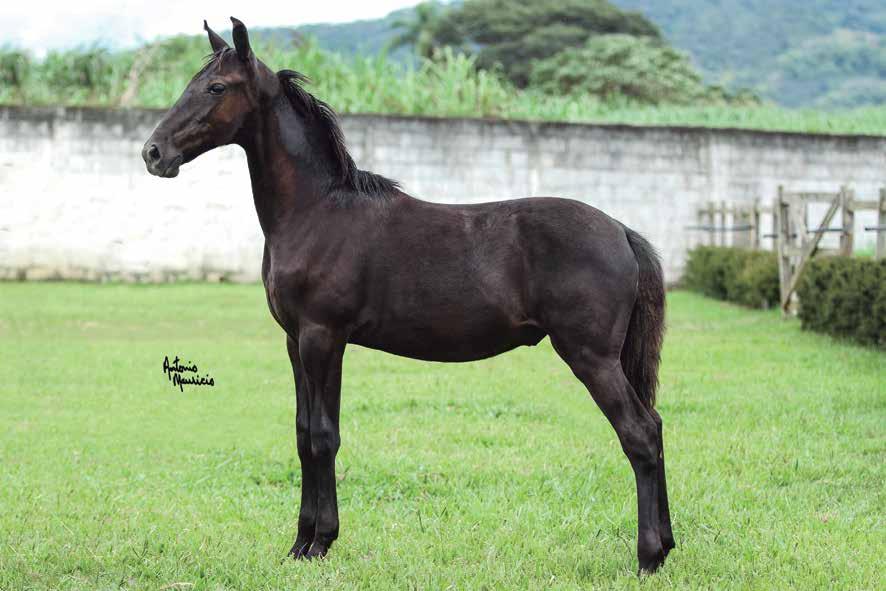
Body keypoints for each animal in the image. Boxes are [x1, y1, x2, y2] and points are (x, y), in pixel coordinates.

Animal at [142, 17, 676, 572]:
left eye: (216, 88)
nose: (153, 153)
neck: (316, 212)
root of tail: (621, 231)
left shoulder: (323, 338)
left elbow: (324, 437)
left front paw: (320, 541)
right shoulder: (294, 342)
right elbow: (303, 434)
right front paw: (299, 544)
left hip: (590, 356)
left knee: (639, 435)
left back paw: (647, 556)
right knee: (656, 428)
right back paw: (666, 545)